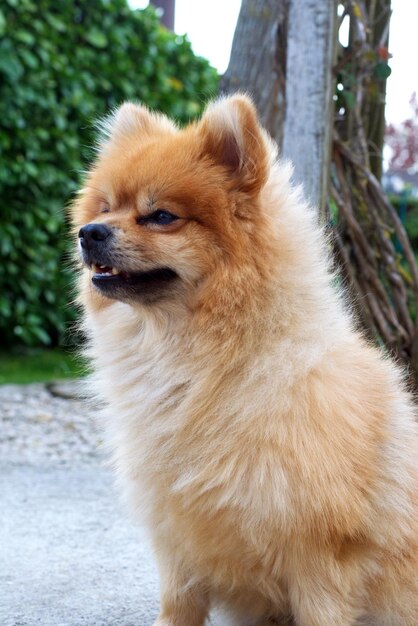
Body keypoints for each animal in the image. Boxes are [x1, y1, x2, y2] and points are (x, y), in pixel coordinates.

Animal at [73, 94, 418, 624]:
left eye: (160, 216)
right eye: (107, 208)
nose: (88, 232)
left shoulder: (319, 556)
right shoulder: (176, 544)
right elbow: (177, 605)